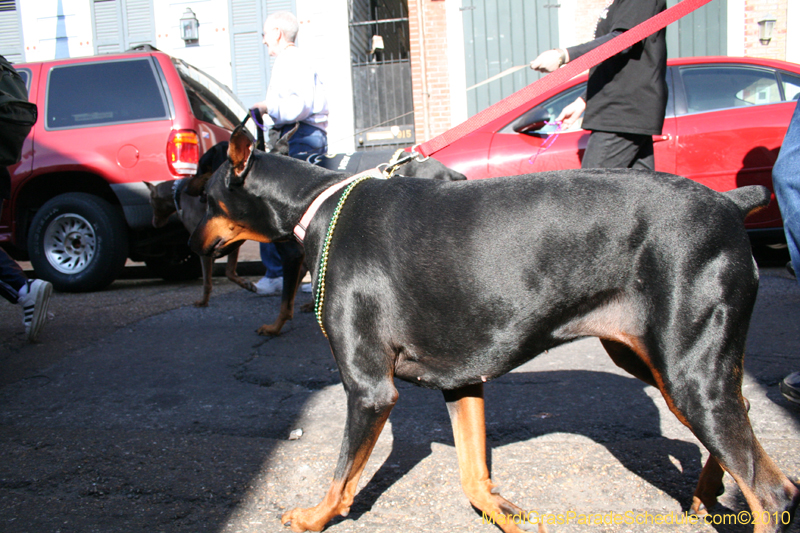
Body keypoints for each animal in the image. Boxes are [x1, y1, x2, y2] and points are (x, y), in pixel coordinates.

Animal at [191, 130, 796, 532]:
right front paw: (506, 512)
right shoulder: (461, 379)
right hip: (666, 363)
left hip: (687, 372)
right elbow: (473, 476)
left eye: (201, 193)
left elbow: (342, 478)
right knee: (747, 428)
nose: (191, 246)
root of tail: (730, 204)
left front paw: (312, 515)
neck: (317, 206)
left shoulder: (369, 389)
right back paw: (705, 494)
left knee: (771, 492)